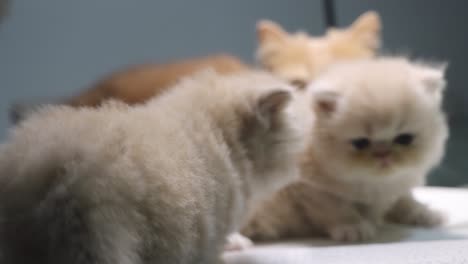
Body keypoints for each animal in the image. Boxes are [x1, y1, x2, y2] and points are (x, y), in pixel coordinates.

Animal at [243, 56, 448, 242]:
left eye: (404, 139)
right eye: (361, 143)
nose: (383, 154)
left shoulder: (396, 183)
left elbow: (405, 200)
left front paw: (425, 214)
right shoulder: (310, 189)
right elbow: (337, 209)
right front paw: (352, 227)